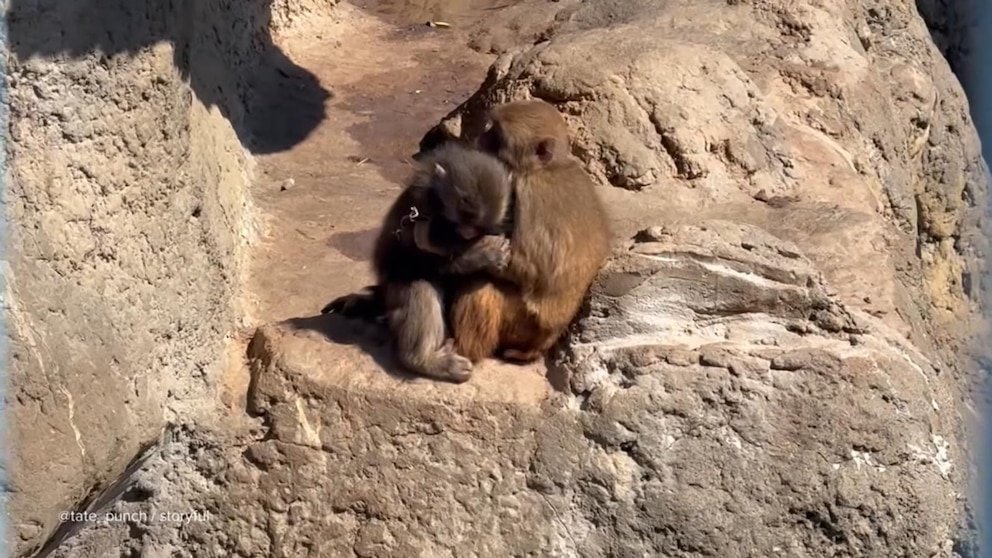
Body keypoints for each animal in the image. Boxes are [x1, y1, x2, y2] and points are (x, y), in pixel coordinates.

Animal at [323, 142, 516, 382]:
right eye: (464, 215)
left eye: (479, 226)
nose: (468, 233)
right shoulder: (420, 210)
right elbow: (414, 256)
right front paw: (482, 255)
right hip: (394, 292)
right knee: (420, 285)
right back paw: (423, 360)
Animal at [447, 99, 611, 364]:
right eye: (490, 129)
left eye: (496, 136)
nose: (480, 138)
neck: (546, 169)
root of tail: (541, 344)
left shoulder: (528, 193)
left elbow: (531, 269)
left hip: (521, 323)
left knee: (482, 288)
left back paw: (463, 352)